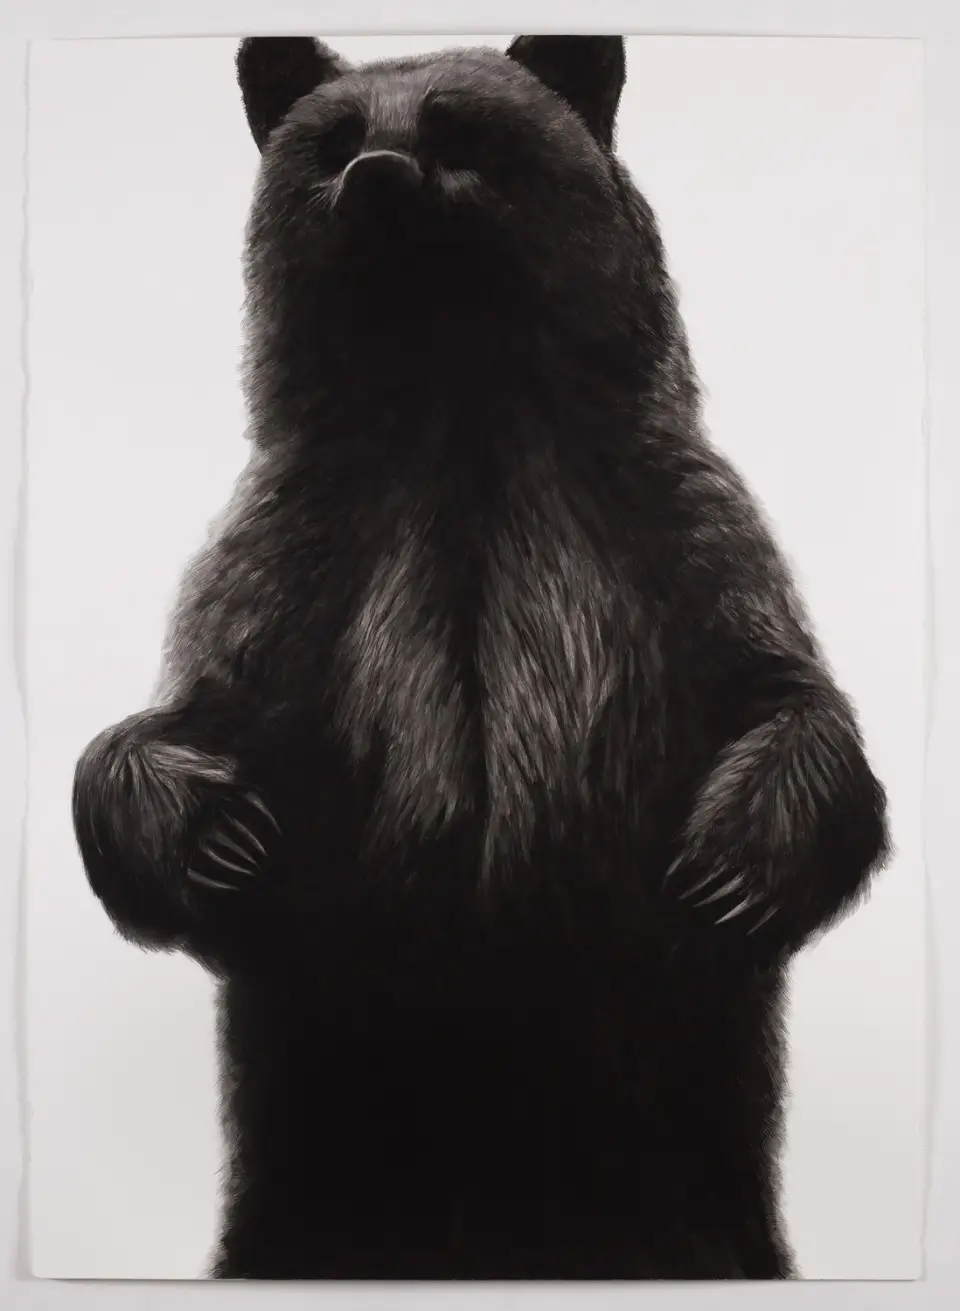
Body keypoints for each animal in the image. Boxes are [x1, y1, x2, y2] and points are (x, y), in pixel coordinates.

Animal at [72, 35, 890, 1280]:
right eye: (334, 138)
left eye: (458, 127)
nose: (377, 179)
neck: (453, 398)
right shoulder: (298, 560)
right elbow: (186, 715)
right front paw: (217, 835)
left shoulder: (664, 538)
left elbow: (785, 697)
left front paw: (728, 870)